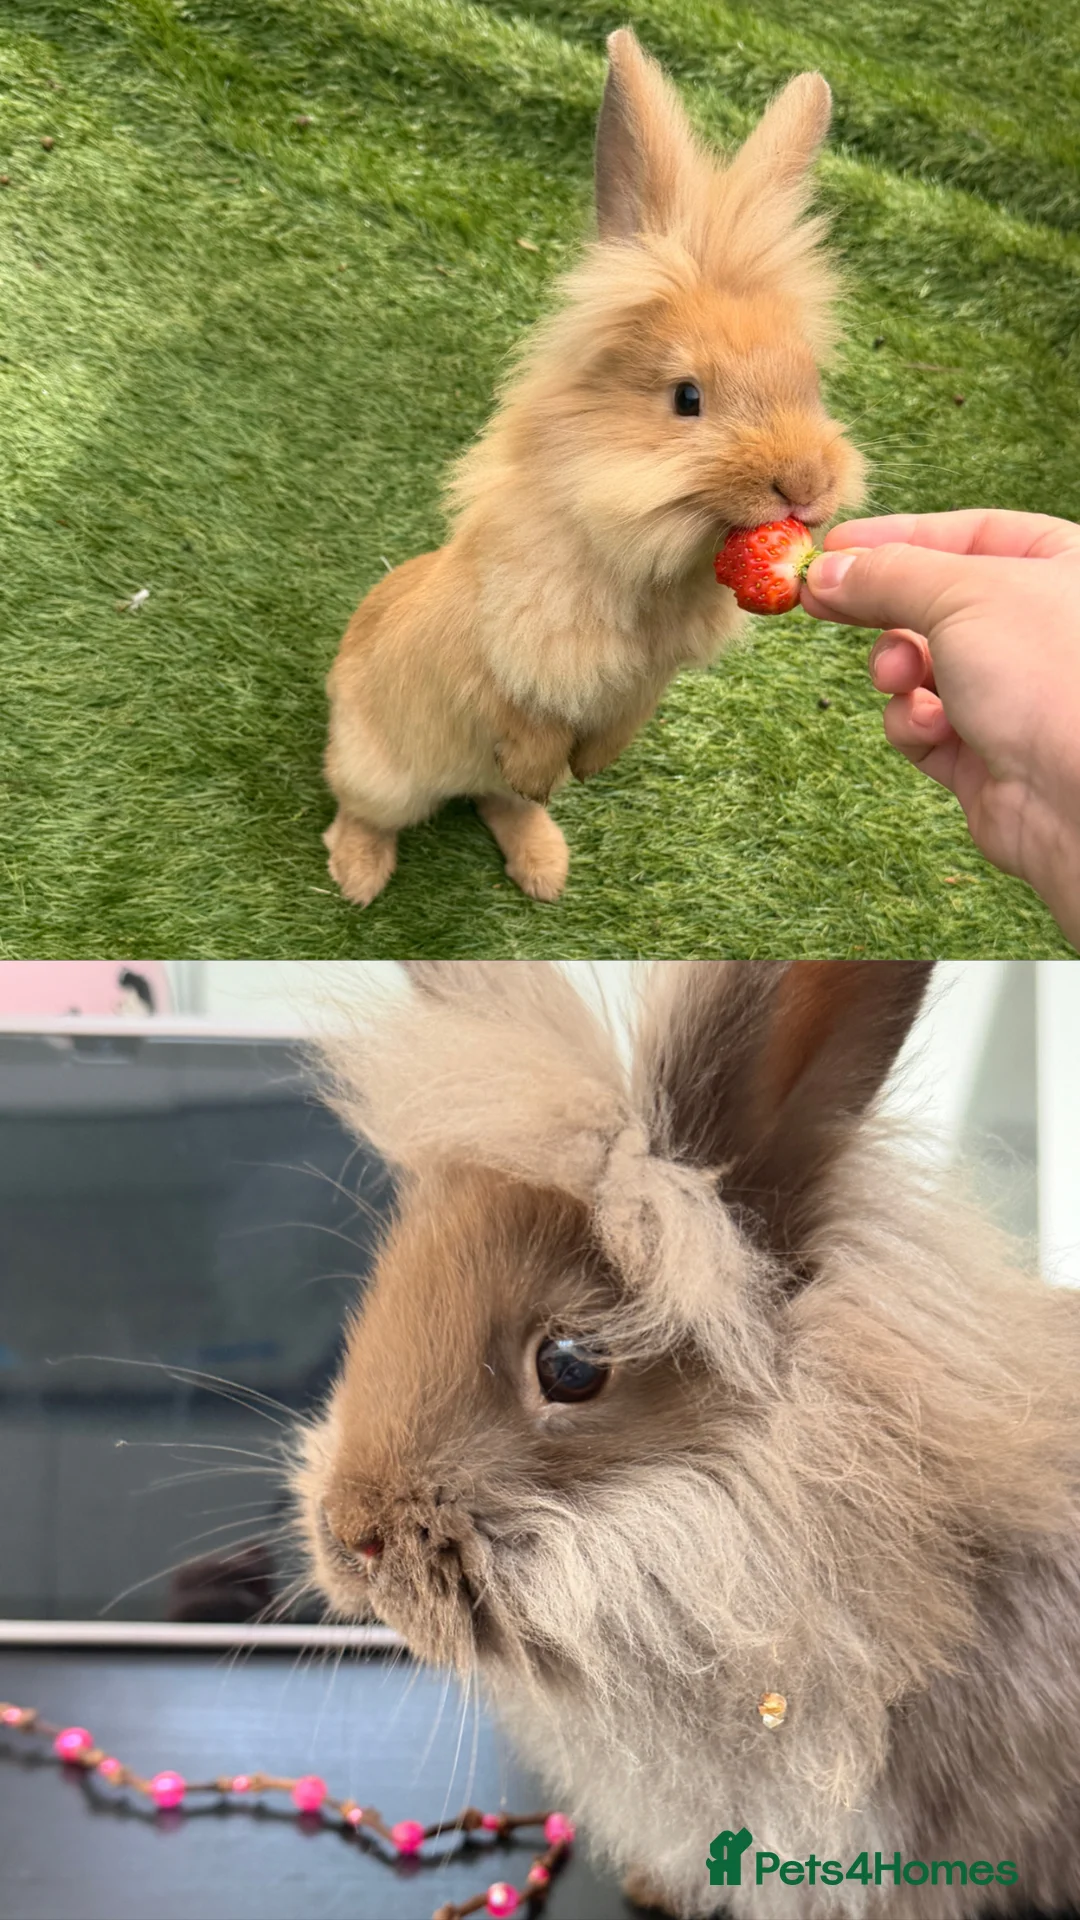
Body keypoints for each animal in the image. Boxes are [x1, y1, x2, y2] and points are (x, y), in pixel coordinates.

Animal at [322, 29, 868, 908]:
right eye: (687, 398)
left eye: (809, 382)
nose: (808, 486)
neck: (652, 569)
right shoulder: (500, 657)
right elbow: (519, 718)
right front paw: (548, 768)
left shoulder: (646, 683)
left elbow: (618, 723)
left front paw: (588, 769)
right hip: (378, 769)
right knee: (368, 808)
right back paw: (360, 878)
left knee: (497, 802)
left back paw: (546, 868)